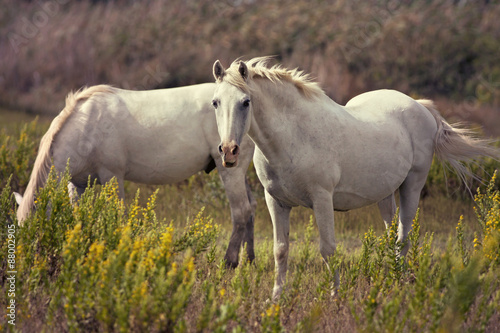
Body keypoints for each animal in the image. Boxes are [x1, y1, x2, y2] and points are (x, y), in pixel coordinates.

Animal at [15, 83, 258, 268]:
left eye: (35, 229)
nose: (28, 265)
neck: (87, 127)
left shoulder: (112, 176)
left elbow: (119, 217)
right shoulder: (77, 184)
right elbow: (78, 219)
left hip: (230, 169)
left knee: (240, 212)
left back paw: (229, 262)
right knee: (250, 210)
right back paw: (249, 261)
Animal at [212, 56, 500, 298]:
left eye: (245, 102)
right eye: (215, 102)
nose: (228, 151)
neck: (293, 135)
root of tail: (420, 106)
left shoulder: (322, 199)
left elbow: (328, 249)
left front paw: (334, 297)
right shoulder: (276, 202)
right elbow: (280, 250)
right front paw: (276, 299)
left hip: (412, 186)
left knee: (402, 238)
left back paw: (399, 285)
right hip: (385, 194)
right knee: (391, 238)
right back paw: (388, 280)